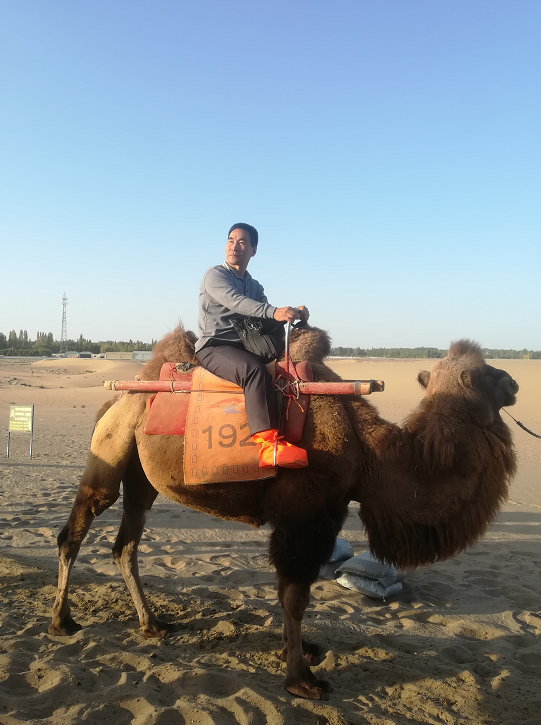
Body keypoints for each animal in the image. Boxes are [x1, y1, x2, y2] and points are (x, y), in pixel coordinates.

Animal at [49, 326, 518, 700]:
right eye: (480, 374)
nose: (513, 382)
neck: (367, 450)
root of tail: (118, 400)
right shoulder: (305, 515)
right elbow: (295, 596)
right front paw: (301, 679)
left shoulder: (326, 514)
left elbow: (287, 592)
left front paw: (301, 652)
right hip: (109, 451)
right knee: (75, 530)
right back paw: (62, 621)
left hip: (141, 478)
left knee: (125, 545)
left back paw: (153, 624)